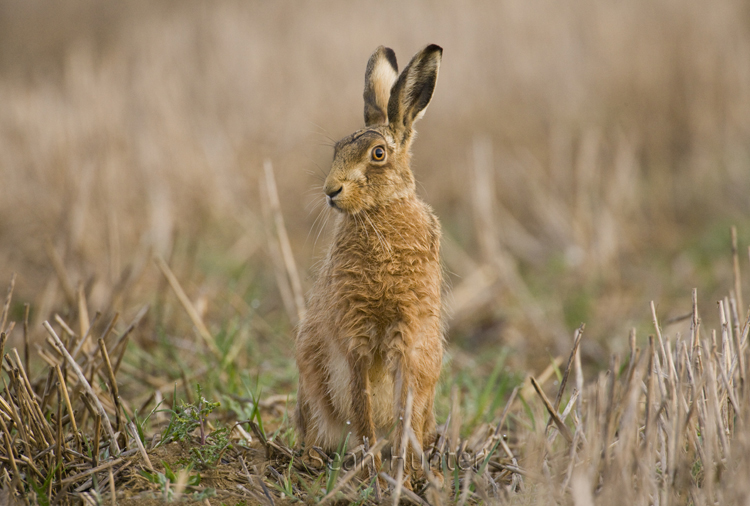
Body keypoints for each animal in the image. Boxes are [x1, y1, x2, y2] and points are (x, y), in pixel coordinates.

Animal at [295, 44, 444, 487]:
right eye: (336, 151)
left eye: (378, 155)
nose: (331, 191)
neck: (380, 212)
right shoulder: (355, 336)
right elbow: (361, 408)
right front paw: (375, 473)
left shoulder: (409, 336)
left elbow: (403, 410)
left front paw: (401, 475)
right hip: (312, 385)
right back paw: (313, 459)